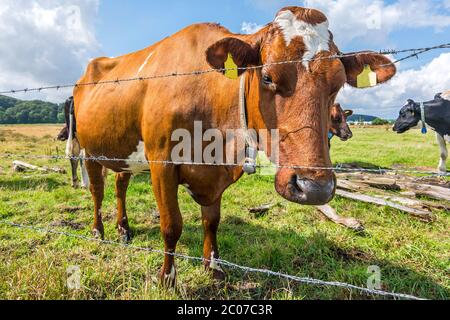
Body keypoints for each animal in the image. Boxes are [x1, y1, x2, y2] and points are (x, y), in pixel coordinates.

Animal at [72, 6, 396, 284]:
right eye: (267, 76)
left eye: (338, 84)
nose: (314, 187)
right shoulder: (162, 163)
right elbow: (171, 226)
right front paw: (167, 279)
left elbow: (212, 221)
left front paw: (213, 267)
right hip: (88, 149)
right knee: (98, 191)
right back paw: (98, 230)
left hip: (123, 152)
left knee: (120, 185)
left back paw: (123, 228)